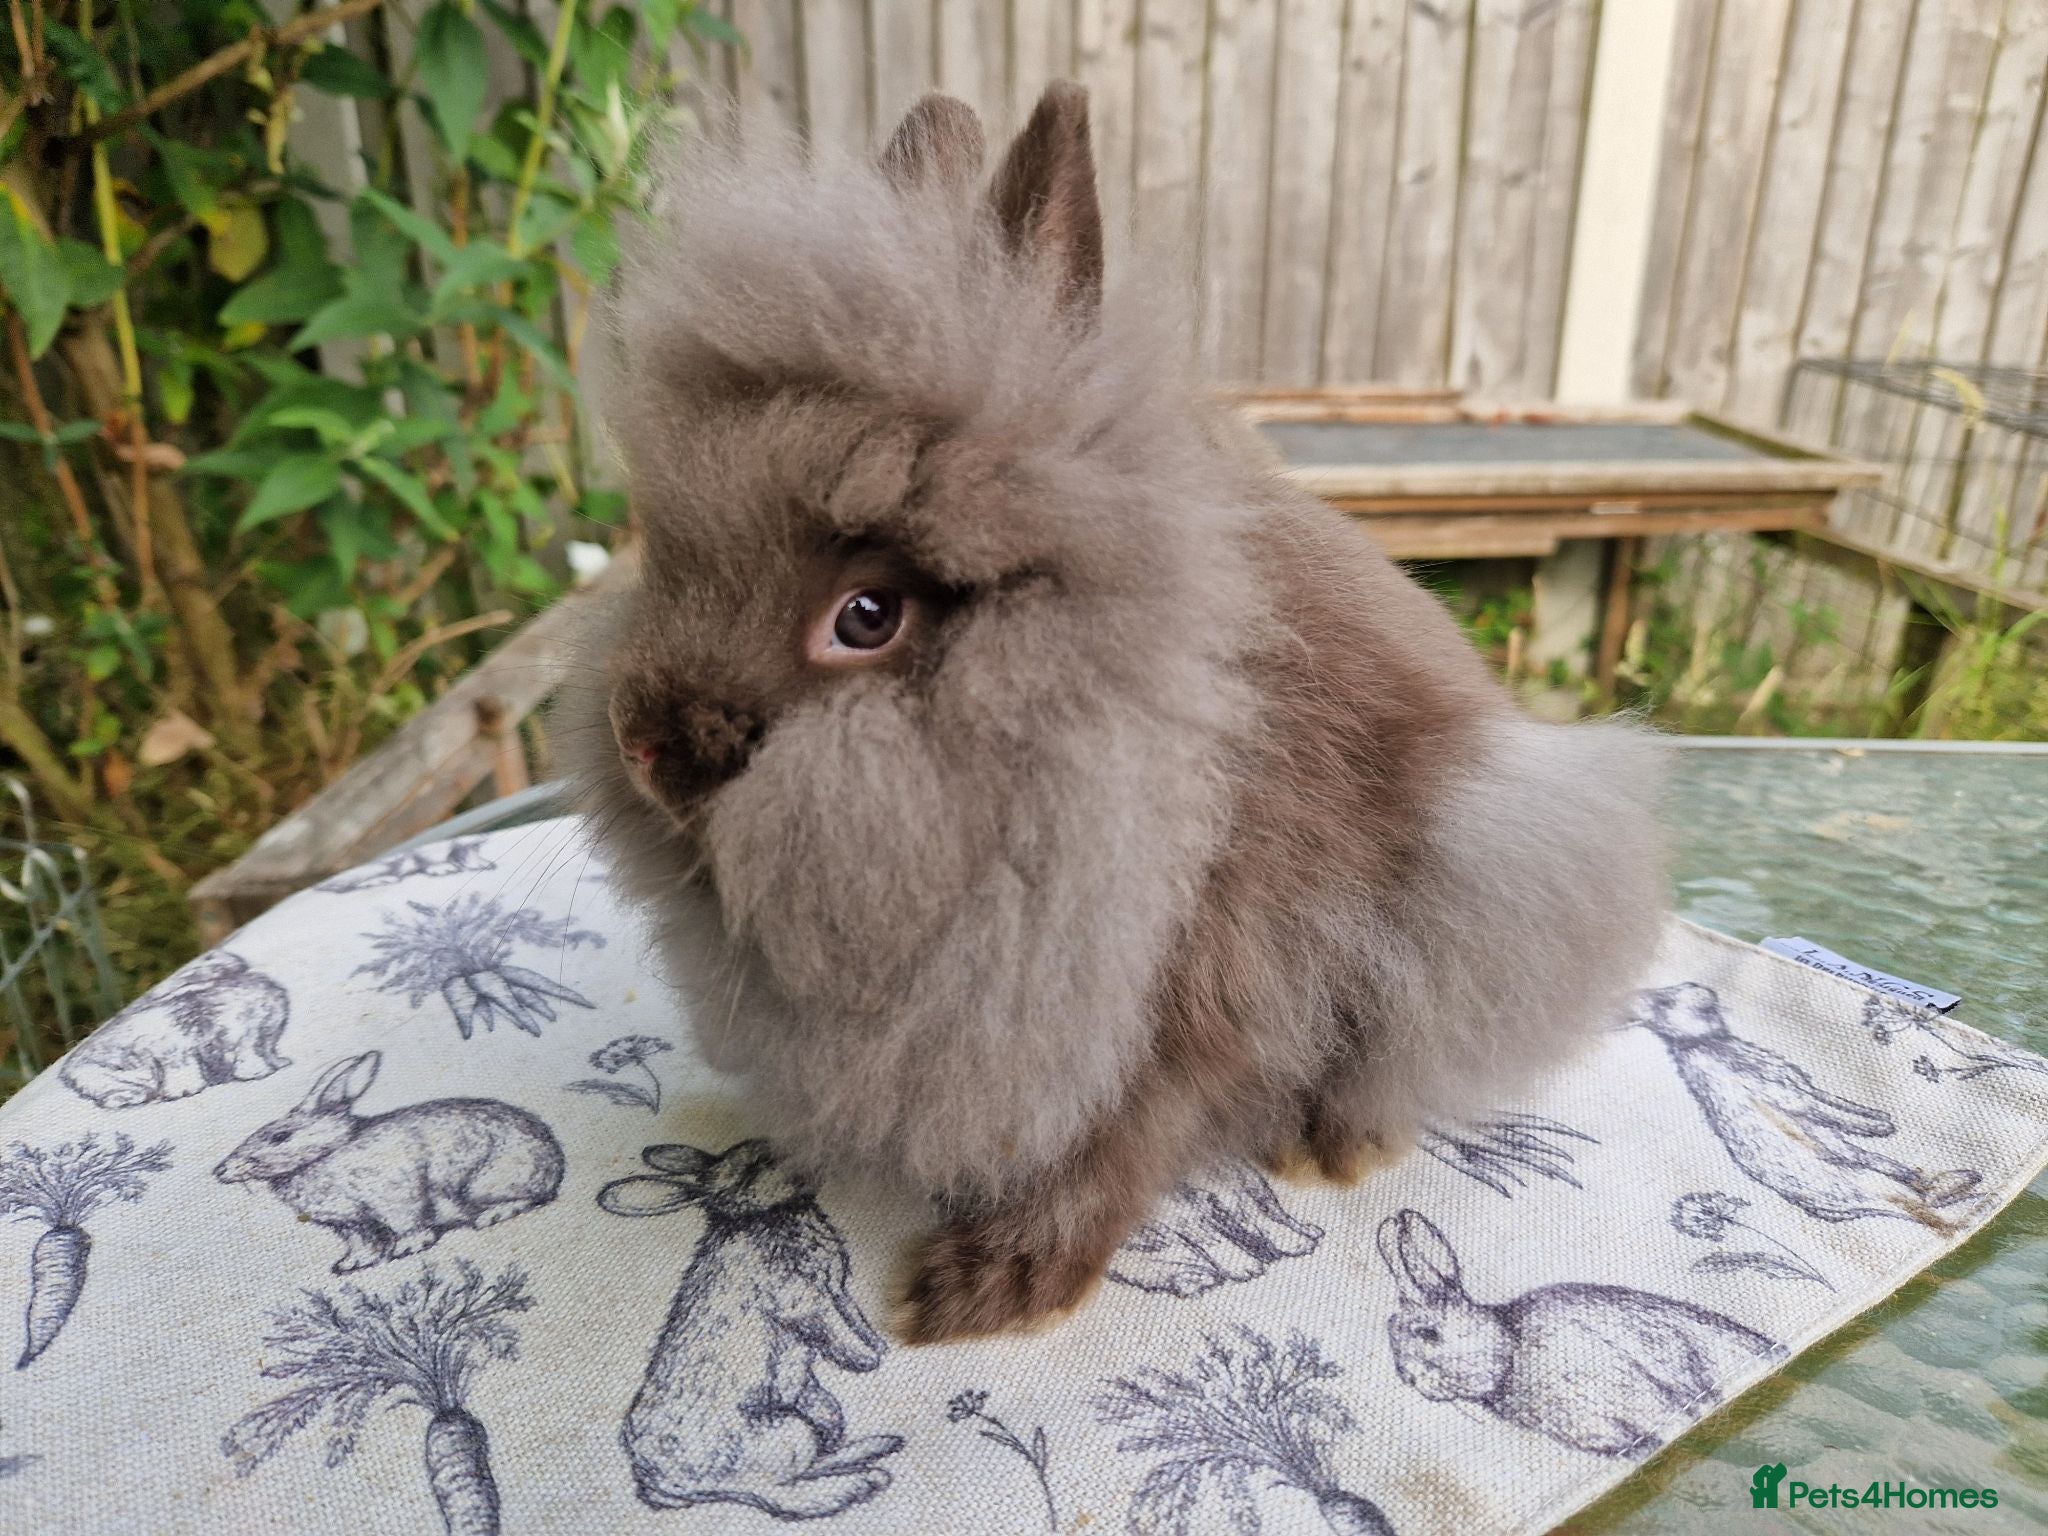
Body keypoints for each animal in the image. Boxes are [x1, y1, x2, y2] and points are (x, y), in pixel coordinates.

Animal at [213, 1051, 563, 1272]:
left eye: (279, 1137)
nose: (220, 1171)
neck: (327, 1152)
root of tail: (555, 1162)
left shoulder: (395, 1197)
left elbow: (407, 1223)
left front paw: (408, 1248)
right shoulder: (351, 1225)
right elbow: (361, 1243)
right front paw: (351, 1265)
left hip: (490, 1180)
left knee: (529, 1198)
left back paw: (492, 1216)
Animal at [555, 82, 1669, 1343]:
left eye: (866, 616)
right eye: (666, 549)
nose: (643, 745)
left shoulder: (1193, 988)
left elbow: (1122, 1136)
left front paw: (981, 1294)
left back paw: (1334, 1145)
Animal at [598, 1139, 904, 1519]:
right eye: (752, 1168)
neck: (763, 1216)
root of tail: (660, 1482)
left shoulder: (837, 1289)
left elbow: (853, 1318)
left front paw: (877, 1346)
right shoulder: (804, 1300)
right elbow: (834, 1330)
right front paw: (866, 1360)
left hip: (817, 1412)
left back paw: (878, 1446)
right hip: (783, 1437)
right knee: (776, 1492)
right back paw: (866, 1481)